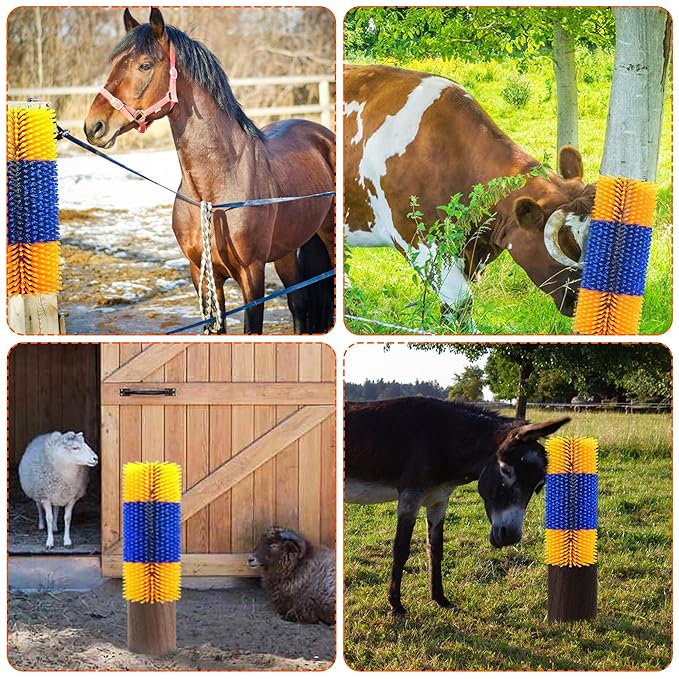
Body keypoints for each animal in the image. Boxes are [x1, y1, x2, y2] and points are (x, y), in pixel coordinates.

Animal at [84, 7, 335, 334]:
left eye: (144, 65)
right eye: (114, 63)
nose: (94, 126)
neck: (213, 191)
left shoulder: (252, 275)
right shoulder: (203, 275)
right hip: (288, 250)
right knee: (299, 304)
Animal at [345, 396, 570, 618]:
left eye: (539, 486)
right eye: (506, 470)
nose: (510, 538)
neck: (444, 440)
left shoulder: (438, 501)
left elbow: (435, 549)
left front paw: (440, 599)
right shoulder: (410, 496)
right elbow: (401, 549)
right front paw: (395, 604)